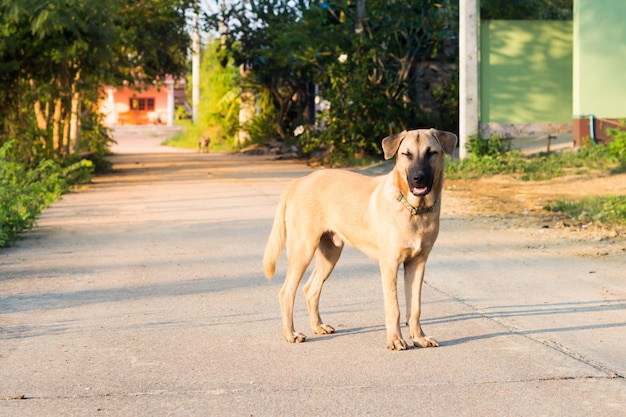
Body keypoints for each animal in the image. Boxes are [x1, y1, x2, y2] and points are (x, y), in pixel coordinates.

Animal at [262, 127, 454, 348]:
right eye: (406, 154)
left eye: (431, 153)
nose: (418, 178)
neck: (414, 209)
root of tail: (298, 182)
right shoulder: (389, 264)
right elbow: (394, 308)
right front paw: (395, 340)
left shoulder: (418, 263)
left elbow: (415, 307)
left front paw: (419, 337)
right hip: (303, 249)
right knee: (286, 292)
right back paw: (290, 334)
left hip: (330, 253)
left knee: (311, 289)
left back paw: (318, 326)